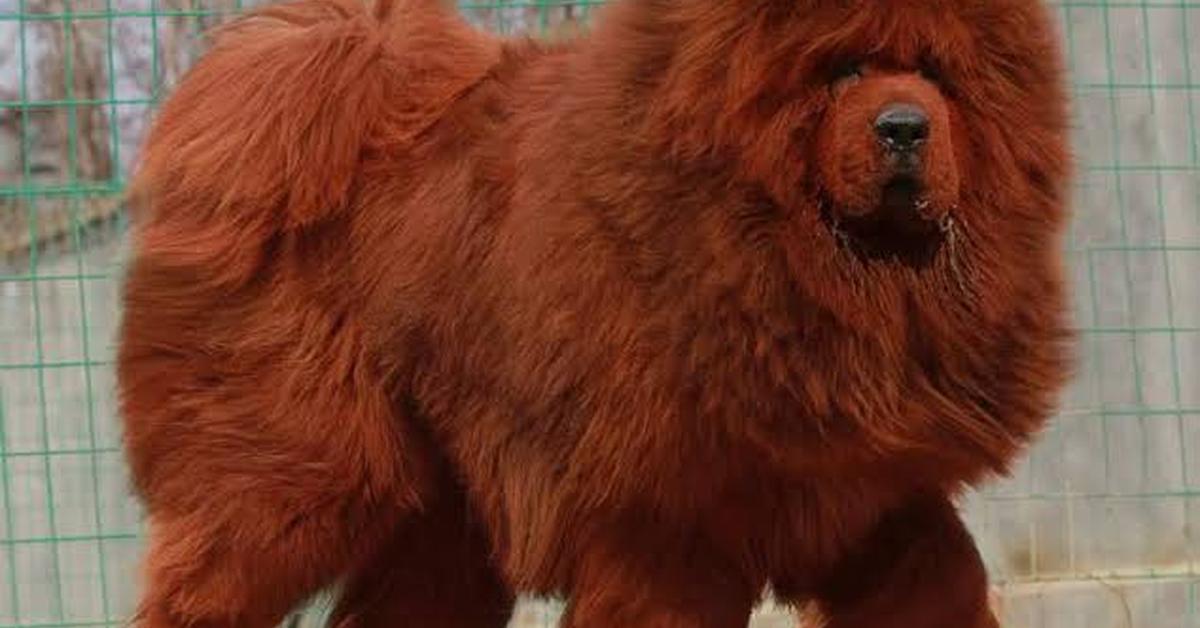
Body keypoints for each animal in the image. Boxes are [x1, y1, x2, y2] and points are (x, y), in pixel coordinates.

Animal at [119, 0, 1070, 624]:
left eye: (938, 75)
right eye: (844, 71)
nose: (906, 126)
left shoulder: (867, 498)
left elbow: (943, 580)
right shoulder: (664, 528)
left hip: (442, 522)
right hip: (295, 480)